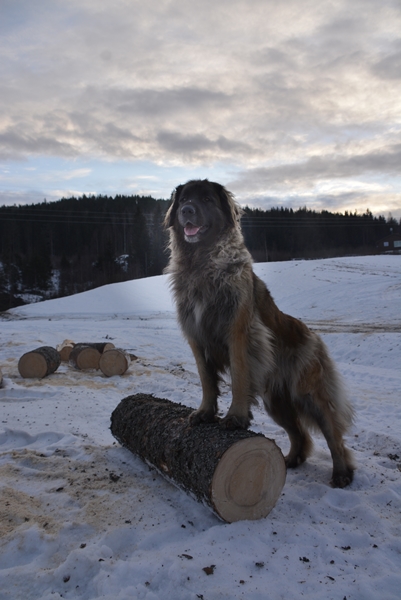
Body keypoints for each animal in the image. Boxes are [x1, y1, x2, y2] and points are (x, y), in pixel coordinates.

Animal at [162, 179, 354, 488]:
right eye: (183, 200)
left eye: (206, 199)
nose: (187, 211)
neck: (202, 263)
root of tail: (312, 334)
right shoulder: (196, 337)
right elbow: (206, 378)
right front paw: (204, 412)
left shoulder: (238, 332)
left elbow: (240, 376)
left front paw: (235, 416)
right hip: (276, 402)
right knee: (299, 432)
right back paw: (291, 460)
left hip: (308, 393)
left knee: (333, 434)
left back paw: (341, 474)